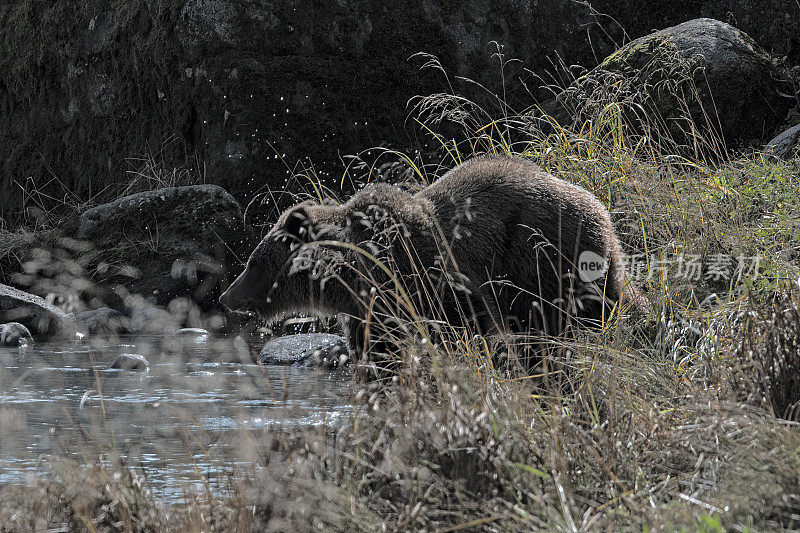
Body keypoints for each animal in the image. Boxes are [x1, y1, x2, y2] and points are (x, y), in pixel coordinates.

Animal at [222, 154, 648, 370]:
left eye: (253, 263)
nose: (226, 296)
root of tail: (601, 208)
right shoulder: (371, 311)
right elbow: (375, 351)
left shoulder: (428, 278)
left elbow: (456, 321)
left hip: (539, 254)